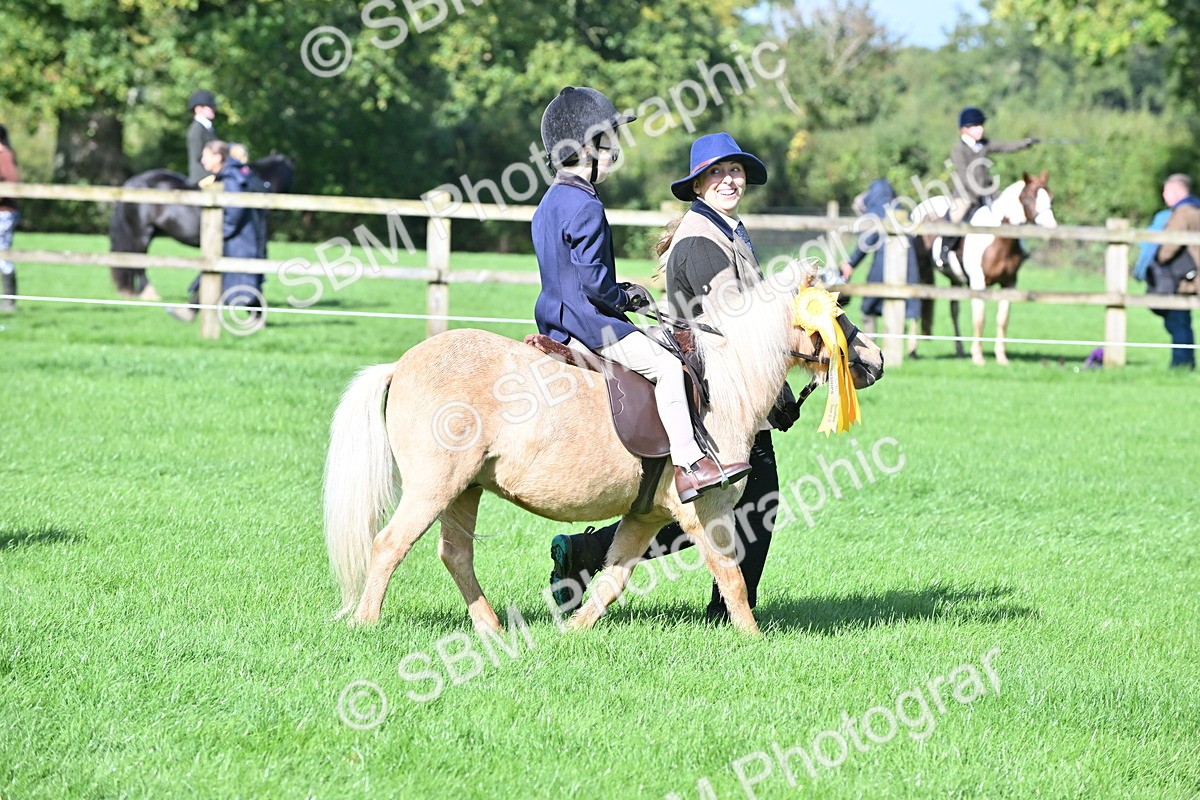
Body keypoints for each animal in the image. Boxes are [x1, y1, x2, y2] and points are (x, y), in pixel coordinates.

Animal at [322, 262, 885, 636]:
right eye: (837, 313)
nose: (876, 359)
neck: (725, 382)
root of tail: (401, 364)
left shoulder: (646, 516)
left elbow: (613, 578)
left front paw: (572, 632)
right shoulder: (706, 509)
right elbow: (732, 577)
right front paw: (753, 640)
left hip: (465, 490)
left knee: (455, 555)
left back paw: (492, 629)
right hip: (434, 488)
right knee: (389, 545)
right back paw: (366, 625)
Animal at [911, 172, 1056, 364]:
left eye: (1051, 198)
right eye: (1030, 197)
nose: (1051, 226)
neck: (999, 239)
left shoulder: (1009, 283)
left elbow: (1003, 319)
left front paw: (1001, 357)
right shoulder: (978, 283)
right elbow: (980, 319)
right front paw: (978, 356)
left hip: (954, 279)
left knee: (954, 310)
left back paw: (959, 350)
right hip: (919, 270)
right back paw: (912, 351)